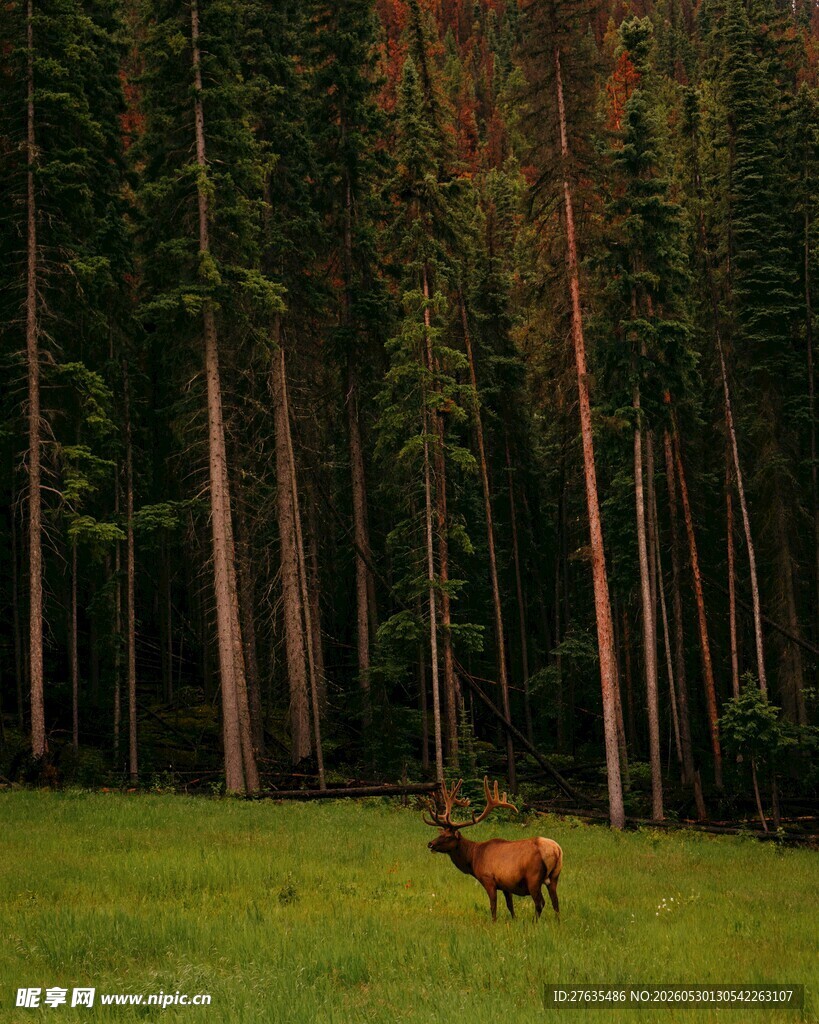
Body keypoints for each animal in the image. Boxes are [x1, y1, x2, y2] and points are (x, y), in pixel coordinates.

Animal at [423, 776, 562, 922]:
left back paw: (535, 922)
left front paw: (494, 922)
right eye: (441, 833)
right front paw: (514, 920)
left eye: (448, 836)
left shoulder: (488, 879)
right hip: (554, 876)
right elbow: (510, 905)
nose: (430, 844)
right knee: (556, 902)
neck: (473, 858)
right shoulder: (506, 884)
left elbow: (493, 906)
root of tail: (556, 850)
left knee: (540, 903)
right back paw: (558, 922)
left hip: (533, 878)